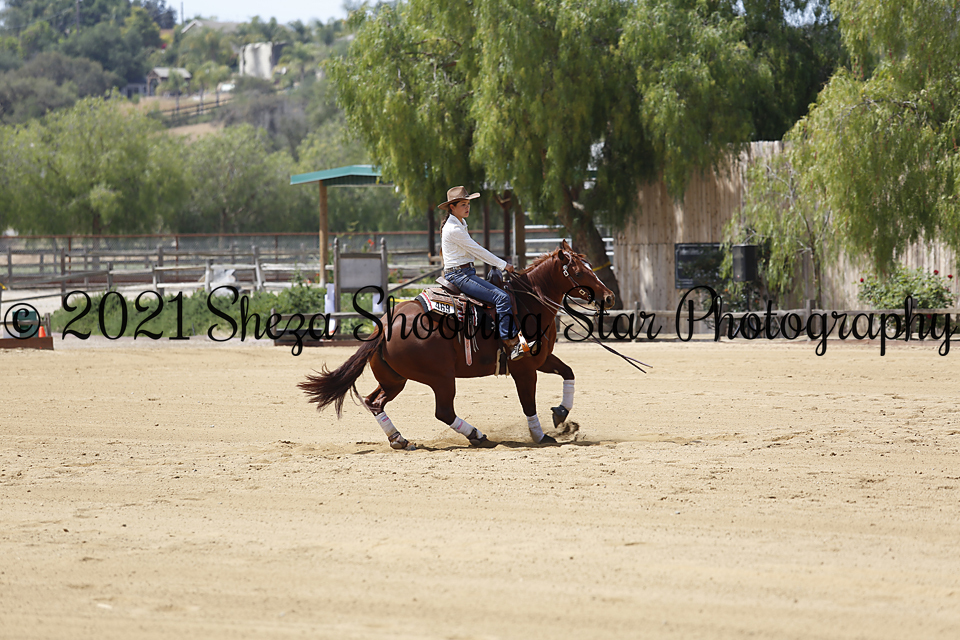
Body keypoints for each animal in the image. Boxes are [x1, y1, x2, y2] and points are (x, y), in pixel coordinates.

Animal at [298, 240, 616, 449]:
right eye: (579, 271)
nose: (609, 297)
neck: (528, 303)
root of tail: (386, 325)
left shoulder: (542, 360)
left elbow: (569, 373)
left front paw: (561, 415)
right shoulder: (524, 367)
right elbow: (528, 403)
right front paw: (541, 436)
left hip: (395, 379)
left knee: (374, 401)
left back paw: (400, 439)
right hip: (441, 378)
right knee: (443, 411)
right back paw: (477, 436)